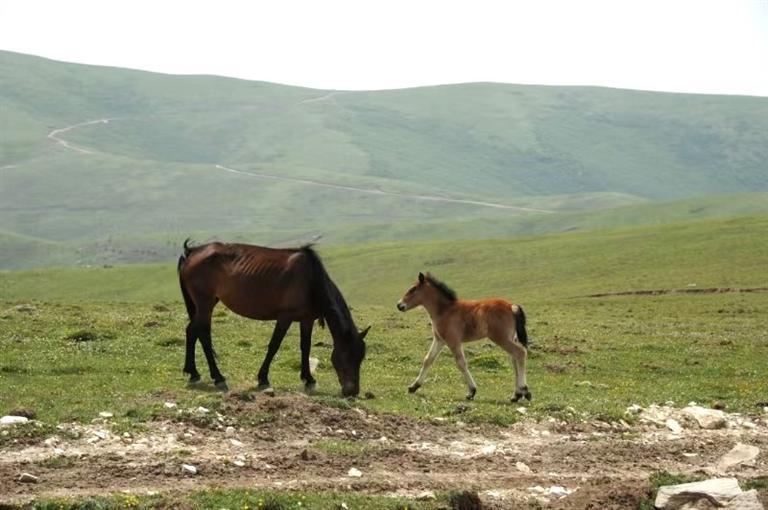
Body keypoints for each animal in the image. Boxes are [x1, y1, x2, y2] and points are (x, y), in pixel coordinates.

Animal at [177, 240, 368, 398]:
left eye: (360, 359)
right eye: (347, 356)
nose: (352, 391)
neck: (311, 281)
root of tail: (192, 252)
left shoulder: (306, 320)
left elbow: (305, 347)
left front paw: (309, 380)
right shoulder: (285, 317)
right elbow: (274, 345)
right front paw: (263, 379)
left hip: (207, 304)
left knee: (194, 331)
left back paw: (193, 373)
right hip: (205, 303)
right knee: (201, 333)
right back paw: (218, 378)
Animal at [396, 272, 528, 400]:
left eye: (412, 289)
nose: (399, 305)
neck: (445, 310)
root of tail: (511, 306)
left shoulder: (453, 341)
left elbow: (461, 363)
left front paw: (471, 391)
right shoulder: (439, 340)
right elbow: (428, 359)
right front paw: (413, 387)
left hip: (501, 338)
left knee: (520, 353)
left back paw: (524, 391)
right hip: (510, 337)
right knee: (514, 359)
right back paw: (516, 395)